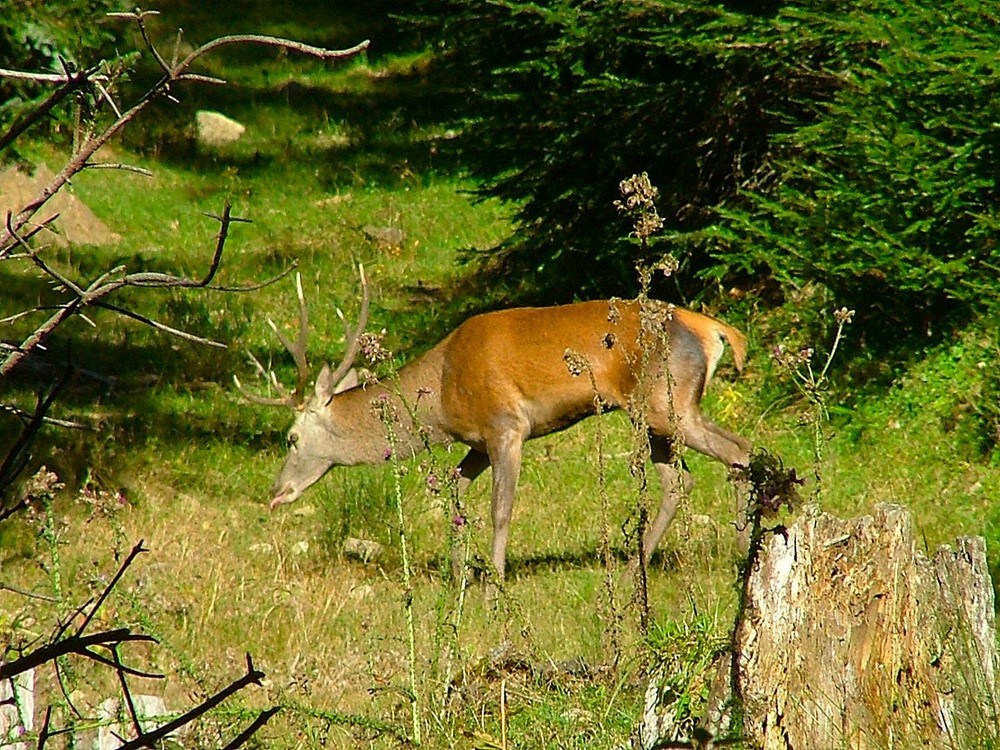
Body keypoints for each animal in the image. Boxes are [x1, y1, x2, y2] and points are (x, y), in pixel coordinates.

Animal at [236, 270, 752, 588]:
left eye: (291, 438)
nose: (276, 491)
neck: (443, 394)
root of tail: (713, 330)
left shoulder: (506, 425)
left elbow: (500, 510)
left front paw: (494, 584)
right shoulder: (477, 441)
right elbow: (456, 494)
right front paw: (459, 574)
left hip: (667, 401)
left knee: (739, 451)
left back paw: (741, 554)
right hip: (653, 414)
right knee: (682, 479)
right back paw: (634, 575)